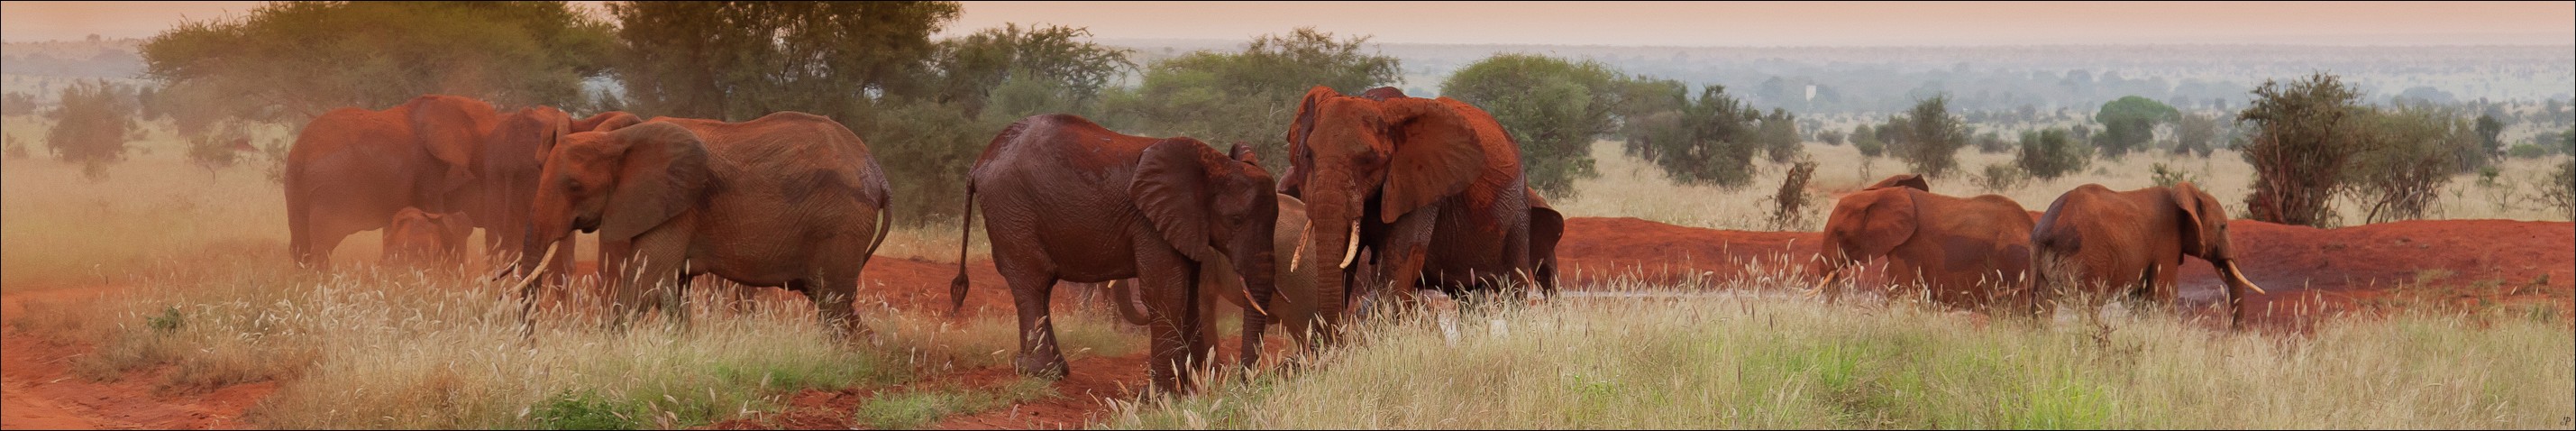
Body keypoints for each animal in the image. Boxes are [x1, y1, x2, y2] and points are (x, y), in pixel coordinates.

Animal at [512, 112, 896, 335]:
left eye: (574, 186)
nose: (529, 345)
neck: (620, 137)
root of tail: (879, 176)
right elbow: (672, 290)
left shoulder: (677, 207)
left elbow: (646, 283)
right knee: (836, 303)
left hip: (841, 224)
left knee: (833, 303)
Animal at [947, 113, 1277, 394]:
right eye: (1236, 220)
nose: (1243, 384)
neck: (1214, 164)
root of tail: (980, 161)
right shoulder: (1149, 222)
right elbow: (1165, 294)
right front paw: (1163, 396)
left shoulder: (1186, 224)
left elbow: (1190, 296)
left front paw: (1192, 388)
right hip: (1011, 210)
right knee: (1033, 281)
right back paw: (1042, 374)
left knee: (1042, 286)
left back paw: (1055, 371)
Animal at [1277, 84, 1535, 340]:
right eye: (1308, 155)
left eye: (1370, 160)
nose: (1336, 338)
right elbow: (1344, 261)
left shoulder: (1420, 184)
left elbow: (1399, 262)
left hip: (1517, 210)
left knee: (1515, 282)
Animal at [2040, 180, 2267, 326]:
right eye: (2222, 227)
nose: (2235, 333)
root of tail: (2053, 226)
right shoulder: (2166, 242)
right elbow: (2164, 297)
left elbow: (2141, 300)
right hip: (2087, 259)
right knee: (2089, 305)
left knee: (2041, 307)